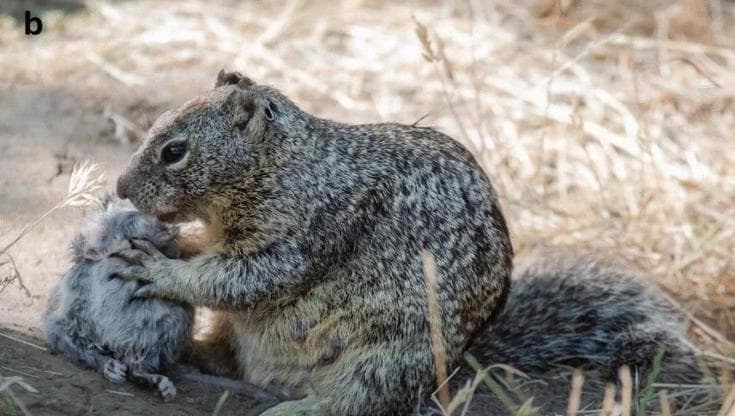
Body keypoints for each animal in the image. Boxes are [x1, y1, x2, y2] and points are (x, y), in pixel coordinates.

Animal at [112, 70, 700, 414]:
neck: (288, 166)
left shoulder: (302, 235)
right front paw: (174, 245)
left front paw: (159, 269)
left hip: (384, 360)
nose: (119, 188)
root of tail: (455, 366)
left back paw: (292, 408)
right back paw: (199, 356)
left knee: (352, 404)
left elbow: (242, 279)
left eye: (174, 151)